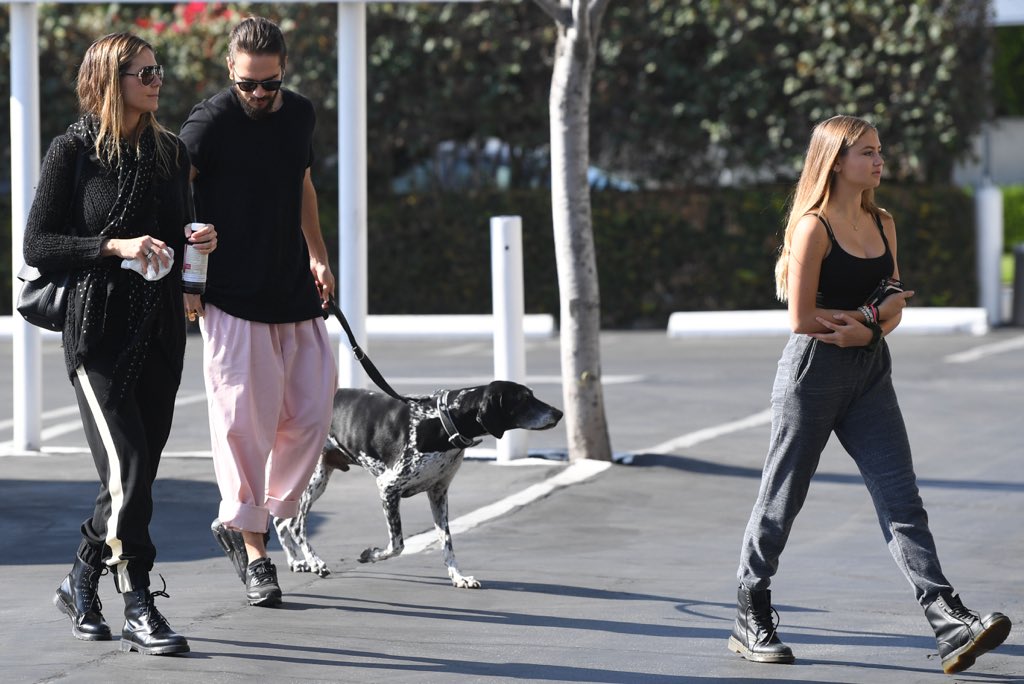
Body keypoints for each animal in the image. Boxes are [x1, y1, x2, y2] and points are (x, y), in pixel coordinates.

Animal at [272, 378, 561, 589]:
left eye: (531, 394)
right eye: (524, 399)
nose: (559, 413)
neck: (442, 420)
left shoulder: (439, 493)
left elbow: (447, 543)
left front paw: (458, 577)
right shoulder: (388, 488)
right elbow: (397, 545)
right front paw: (371, 554)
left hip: (318, 479)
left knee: (282, 520)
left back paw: (297, 561)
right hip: (312, 479)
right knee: (296, 524)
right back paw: (314, 561)